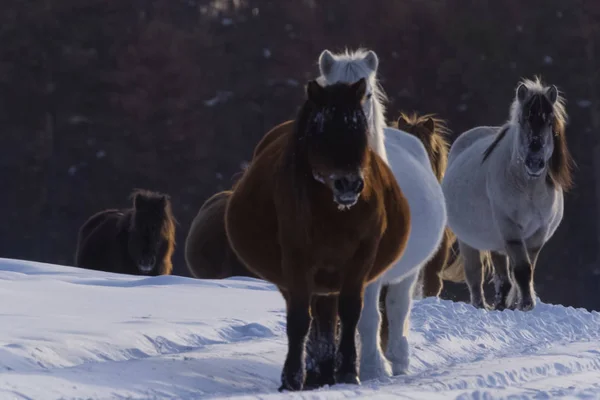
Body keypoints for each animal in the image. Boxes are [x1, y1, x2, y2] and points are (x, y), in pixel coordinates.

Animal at [225, 79, 412, 392]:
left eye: (360, 130)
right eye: (322, 133)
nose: (348, 184)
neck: (334, 213)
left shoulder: (361, 257)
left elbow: (349, 313)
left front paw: (348, 372)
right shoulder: (296, 259)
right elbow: (300, 320)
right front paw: (291, 378)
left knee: (327, 319)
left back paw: (325, 371)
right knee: (314, 320)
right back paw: (316, 372)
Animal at [316, 48, 448, 380]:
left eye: (367, 94)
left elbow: (368, 318)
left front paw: (372, 368)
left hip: (408, 272)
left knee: (398, 309)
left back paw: (397, 361)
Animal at [440, 76, 576, 310]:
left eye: (549, 122)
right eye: (522, 120)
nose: (535, 162)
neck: (529, 189)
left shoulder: (537, 233)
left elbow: (525, 270)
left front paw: (520, 304)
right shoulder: (510, 229)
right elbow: (521, 269)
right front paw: (526, 304)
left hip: (495, 242)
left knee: (502, 278)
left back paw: (501, 304)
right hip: (469, 241)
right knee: (475, 275)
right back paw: (481, 305)